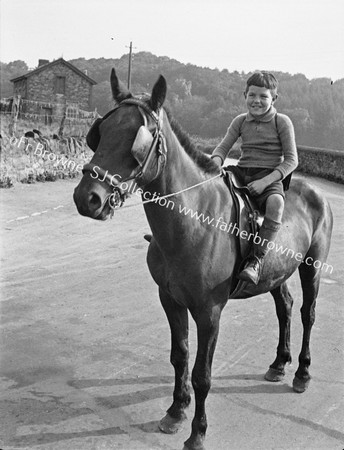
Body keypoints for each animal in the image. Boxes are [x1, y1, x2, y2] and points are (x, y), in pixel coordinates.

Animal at [73, 69, 334, 450]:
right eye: (100, 132)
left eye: (139, 140)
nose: (87, 198)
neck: (193, 221)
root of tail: (318, 194)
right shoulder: (170, 299)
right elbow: (179, 356)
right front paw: (176, 410)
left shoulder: (209, 312)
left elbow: (202, 375)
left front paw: (197, 432)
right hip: (277, 272)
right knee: (284, 306)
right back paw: (279, 363)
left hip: (310, 266)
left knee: (307, 313)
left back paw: (301, 371)